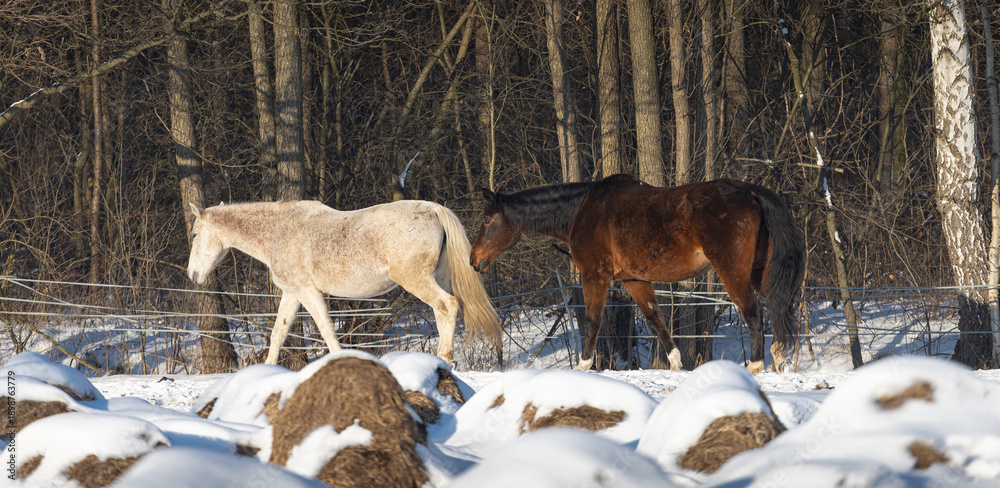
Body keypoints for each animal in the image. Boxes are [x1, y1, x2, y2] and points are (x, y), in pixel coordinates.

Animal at [186, 199, 502, 366]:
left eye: (195, 234)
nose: (192, 275)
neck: (279, 232)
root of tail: (435, 209)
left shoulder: (308, 292)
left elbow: (326, 331)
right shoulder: (293, 293)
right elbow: (278, 334)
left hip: (417, 280)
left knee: (448, 306)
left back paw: (445, 359)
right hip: (436, 278)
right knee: (442, 312)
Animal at [470, 174, 804, 373]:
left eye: (487, 220)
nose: (474, 260)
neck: (582, 209)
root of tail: (750, 190)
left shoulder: (595, 275)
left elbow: (593, 321)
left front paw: (583, 366)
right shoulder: (635, 280)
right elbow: (656, 319)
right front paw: (675, 364)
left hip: (733, 272)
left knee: (753, 312)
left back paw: (756, 366)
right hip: (759, 274)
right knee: (777, 309)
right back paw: (779, 358)